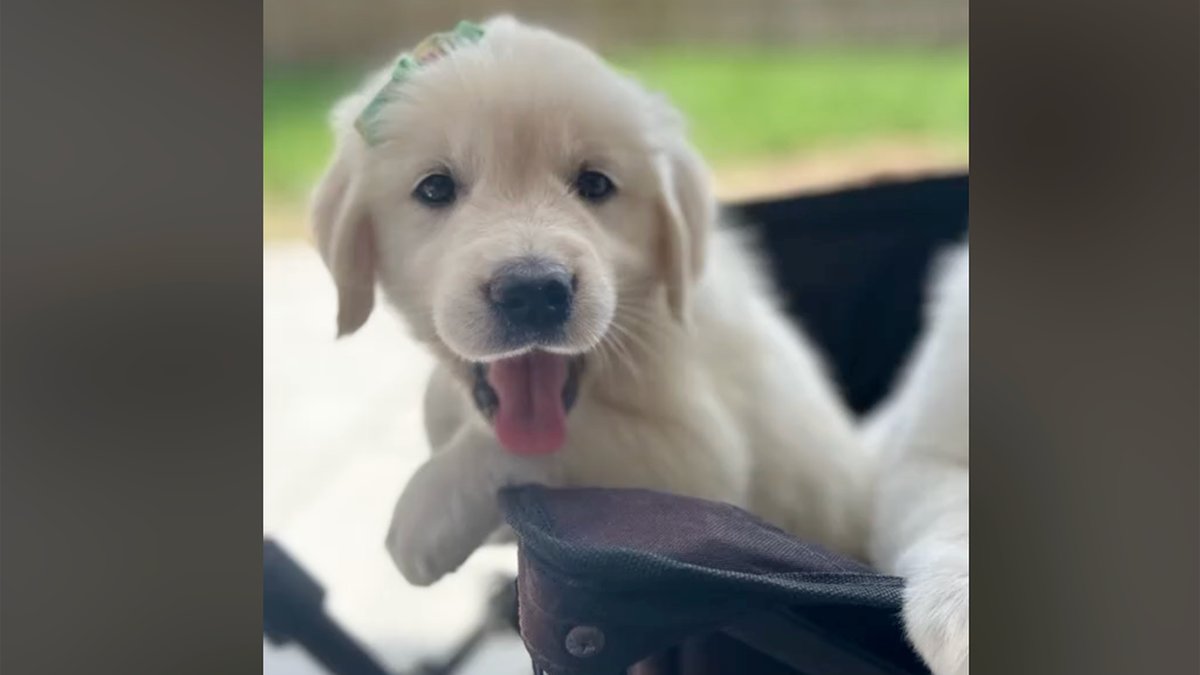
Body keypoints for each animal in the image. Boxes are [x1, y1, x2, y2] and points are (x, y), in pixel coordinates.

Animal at [309, 14, 873, 583]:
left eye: (595, 184)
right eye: (434, 188)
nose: (533, 291)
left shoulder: (696, 460)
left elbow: (558, 440)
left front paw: (425, 512)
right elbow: (443, 402)